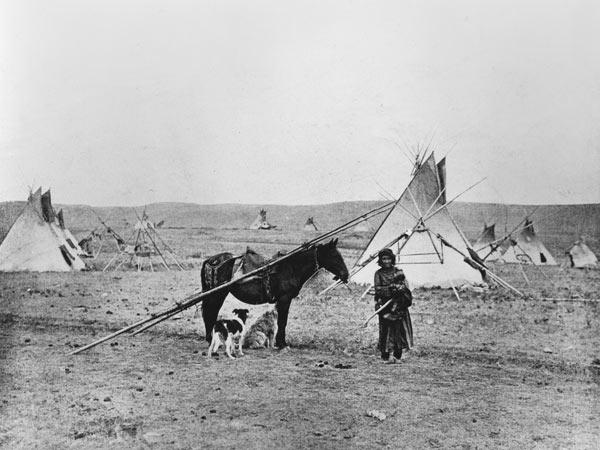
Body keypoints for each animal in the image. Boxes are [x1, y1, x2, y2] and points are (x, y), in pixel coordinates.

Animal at [200, 239, 346, 348]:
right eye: (334, 255)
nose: (346, 274)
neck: (291, 267)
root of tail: (211, 260)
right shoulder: (285, 299)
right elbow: (282, 322)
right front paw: (282, 343)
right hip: (217, 295)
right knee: (210, 313)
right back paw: (210, 338)